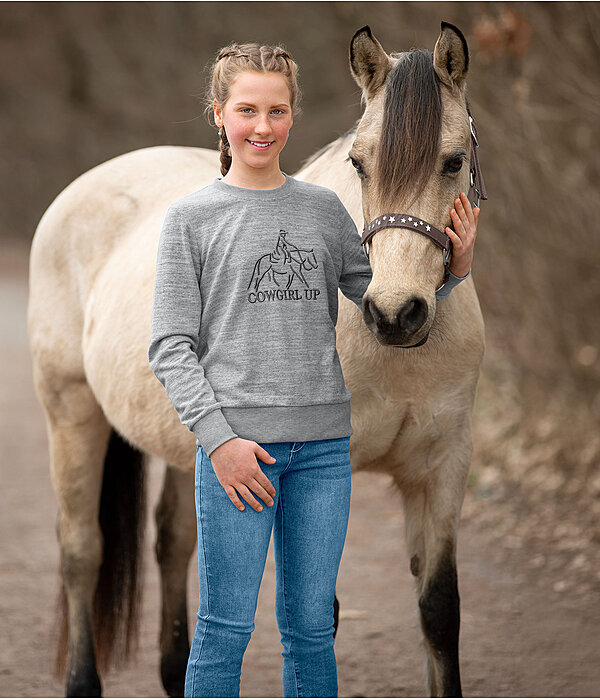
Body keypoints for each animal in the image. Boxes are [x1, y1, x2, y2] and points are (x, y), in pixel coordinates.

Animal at [29, 19, 482, 696]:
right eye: (359, 162)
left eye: (453, 161)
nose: (394, 313)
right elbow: (320, 611)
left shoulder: (442, 470)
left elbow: (439, 611)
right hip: (71, 412)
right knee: (83, 550)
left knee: (172, 541)